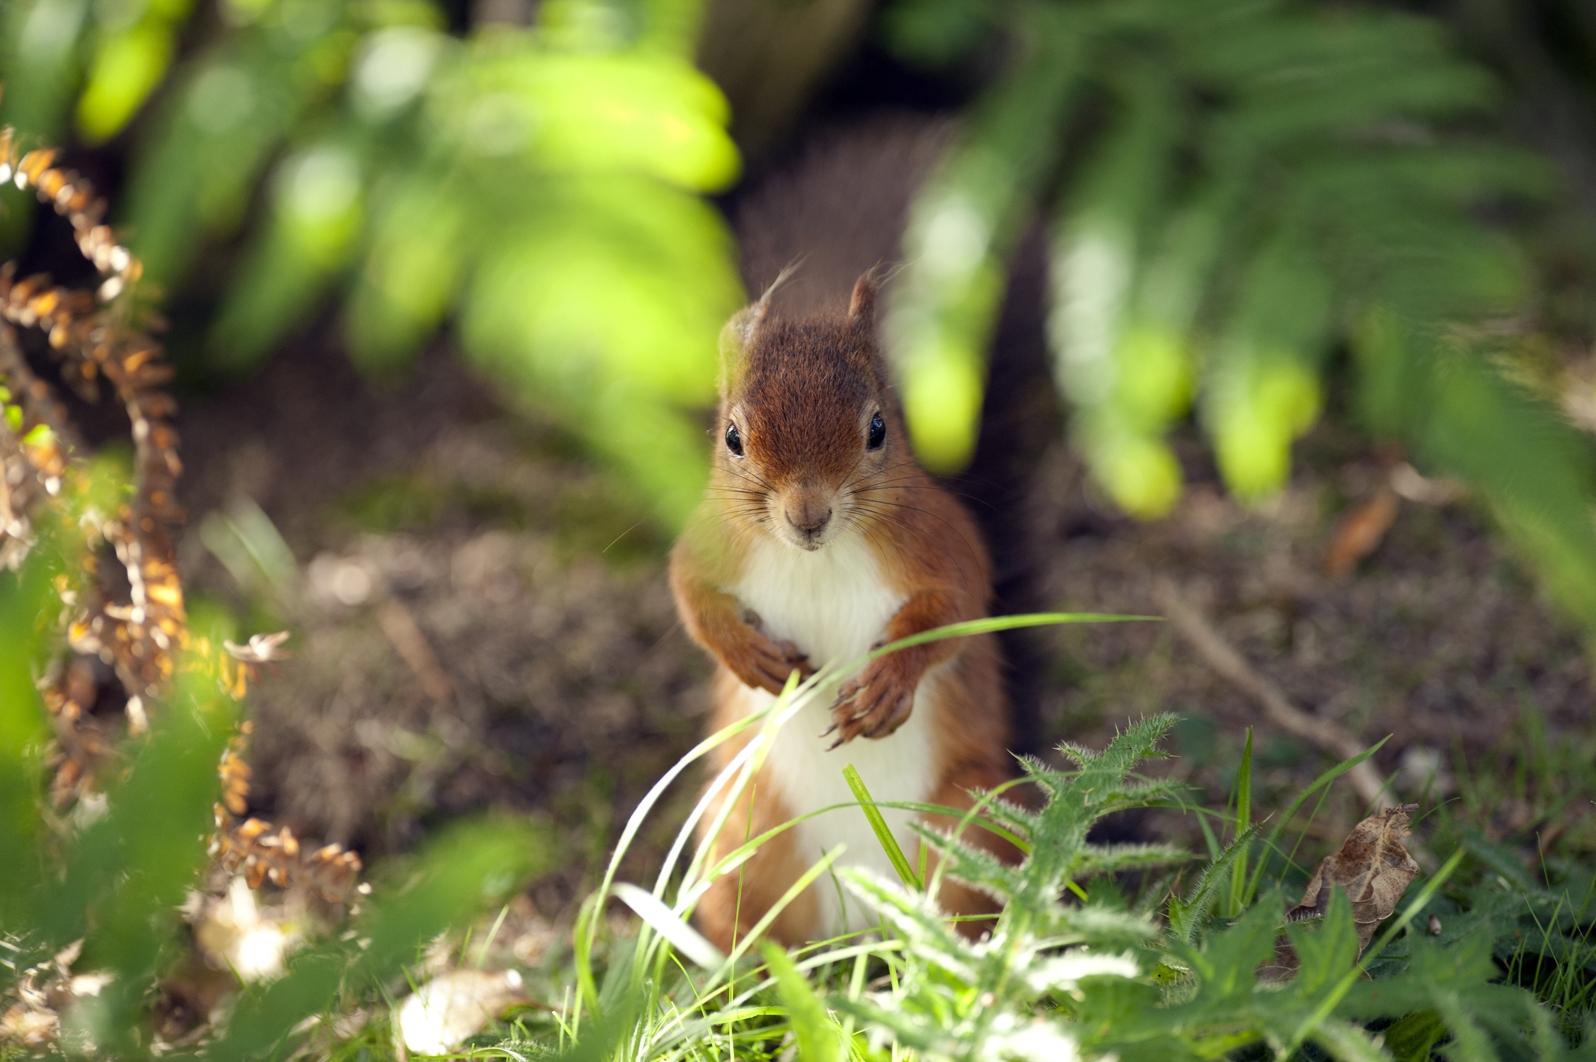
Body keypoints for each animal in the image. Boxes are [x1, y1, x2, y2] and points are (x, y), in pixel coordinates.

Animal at [667, 269, 1015, 945]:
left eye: (878, 428)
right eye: (733, 438)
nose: (808, 515)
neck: (816, 559)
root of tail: (860, 921)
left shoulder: (945, 545)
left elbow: (954, 615)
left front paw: (884, 687)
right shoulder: (708, 547)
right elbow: (692, 600)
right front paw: (752, 659)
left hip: (968, 819)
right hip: (743, 838)